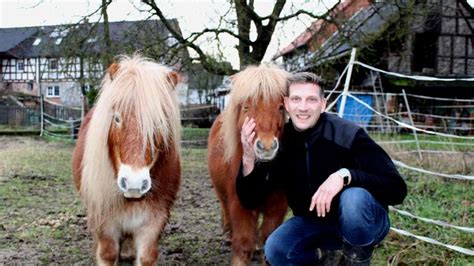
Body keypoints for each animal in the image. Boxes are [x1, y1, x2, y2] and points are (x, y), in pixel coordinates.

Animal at [72, 54, 181, 266]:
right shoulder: (104, 221)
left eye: (159, 122)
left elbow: (145, 256)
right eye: (116, 118)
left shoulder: (154, 221)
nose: (134, 183)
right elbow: (107, 253)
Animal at [209, 63, 290, 264]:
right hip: (222, 196)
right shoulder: (240, 205)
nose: (267, 147)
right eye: (246, 107)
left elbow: (267, 240)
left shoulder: (277, 207)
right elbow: (243, 244)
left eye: (280, 107)